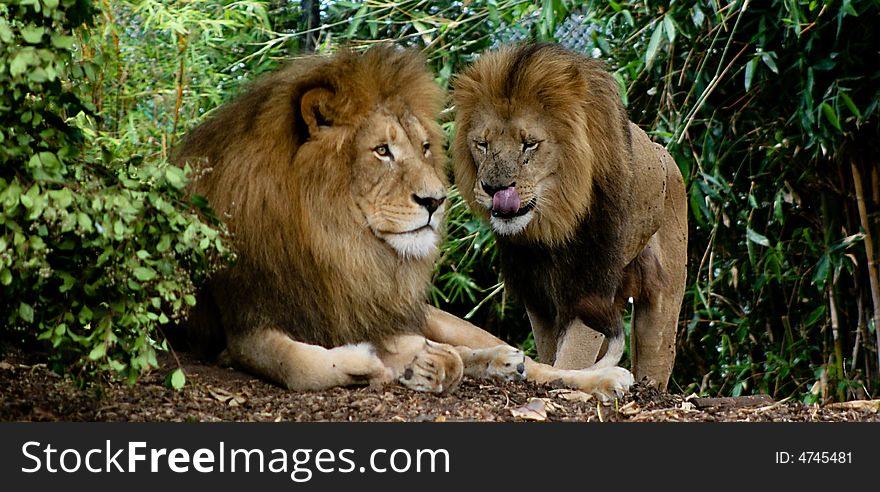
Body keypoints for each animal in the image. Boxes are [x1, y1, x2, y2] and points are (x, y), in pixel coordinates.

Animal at [454, 44, 688, 390]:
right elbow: (552, 350)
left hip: (663, 299)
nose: (494, 189)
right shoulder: (536, 292)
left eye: (530, 144)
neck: (553, 224)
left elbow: (574, 354)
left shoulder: (592, 287)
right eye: (482, 144)